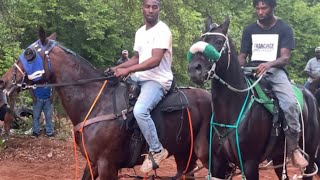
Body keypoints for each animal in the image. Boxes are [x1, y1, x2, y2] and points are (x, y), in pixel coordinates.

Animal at [0, 27, 212, 179]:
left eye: (29, 54)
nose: (4, 80)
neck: (96, 103)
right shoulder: (92, 163)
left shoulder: (107, 165)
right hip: (185, 154)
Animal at [188, 16, 320, 179]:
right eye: (202, 39)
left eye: (219, 41)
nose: (194, 69)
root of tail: (310, 95)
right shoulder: (218, 163)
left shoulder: (249, 163)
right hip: (278, 156)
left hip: (310, 152)